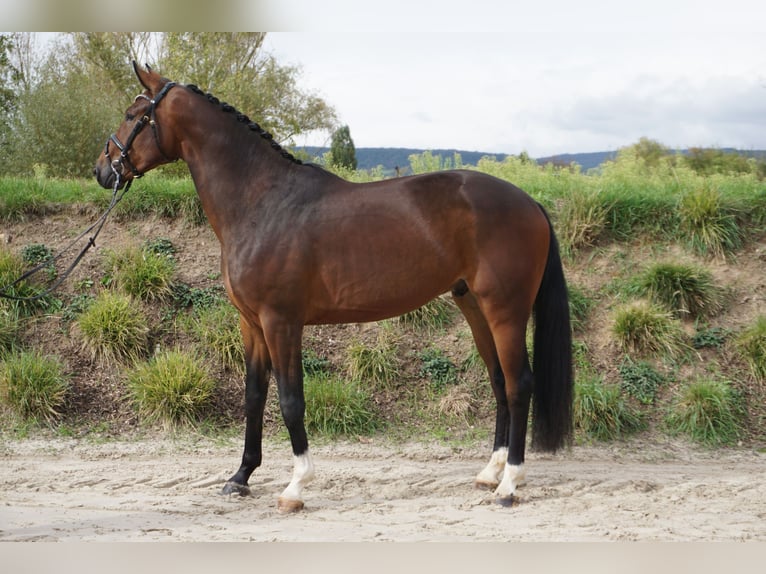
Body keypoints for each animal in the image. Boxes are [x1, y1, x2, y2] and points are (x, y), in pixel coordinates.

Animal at [96, 63, 572, 512]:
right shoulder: (251, 324)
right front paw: (241, 477)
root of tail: (530, 203)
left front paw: (295, 486)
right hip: (474, 306)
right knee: (499, 381)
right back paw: (491, 472)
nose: (103, 170)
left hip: (505, 309)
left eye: (133, 115)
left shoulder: (281, 322)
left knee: (519, 384)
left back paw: (509, 485)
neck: (262, 203)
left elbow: (290, 400)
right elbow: (254, 397)